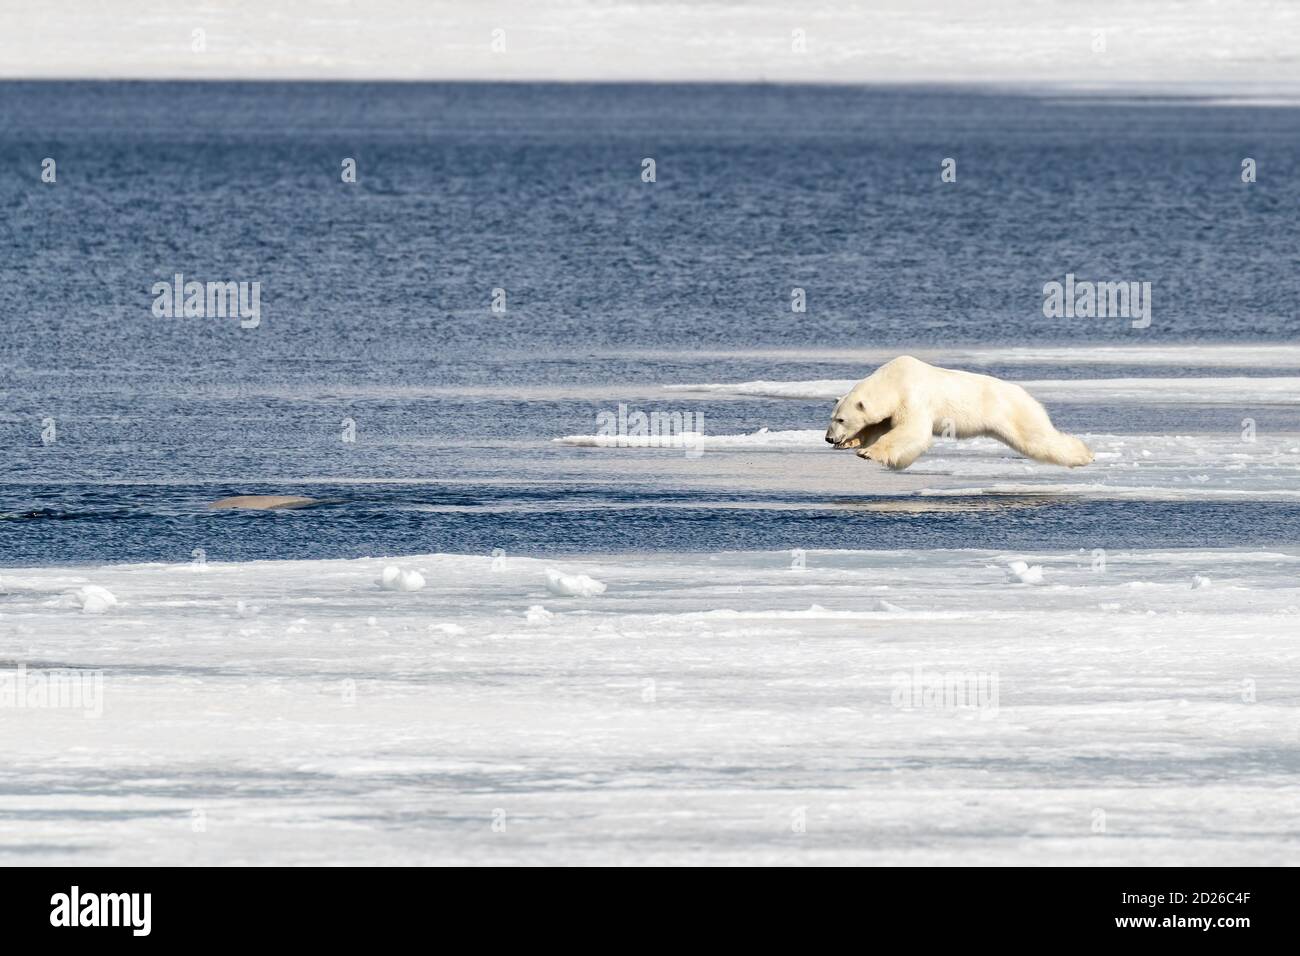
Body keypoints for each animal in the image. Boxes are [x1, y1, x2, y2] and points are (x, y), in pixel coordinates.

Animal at [824, 355, 1094, 471]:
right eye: (832, 418)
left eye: (841, 418)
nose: (828, 438)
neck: (893, 380)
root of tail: (1027, 395)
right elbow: (879, 426)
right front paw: (851, 442)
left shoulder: (913, 397)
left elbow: (911, 432)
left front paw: (867, 453)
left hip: (1014, 411)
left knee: (1037, 437)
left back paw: (1085, 455)